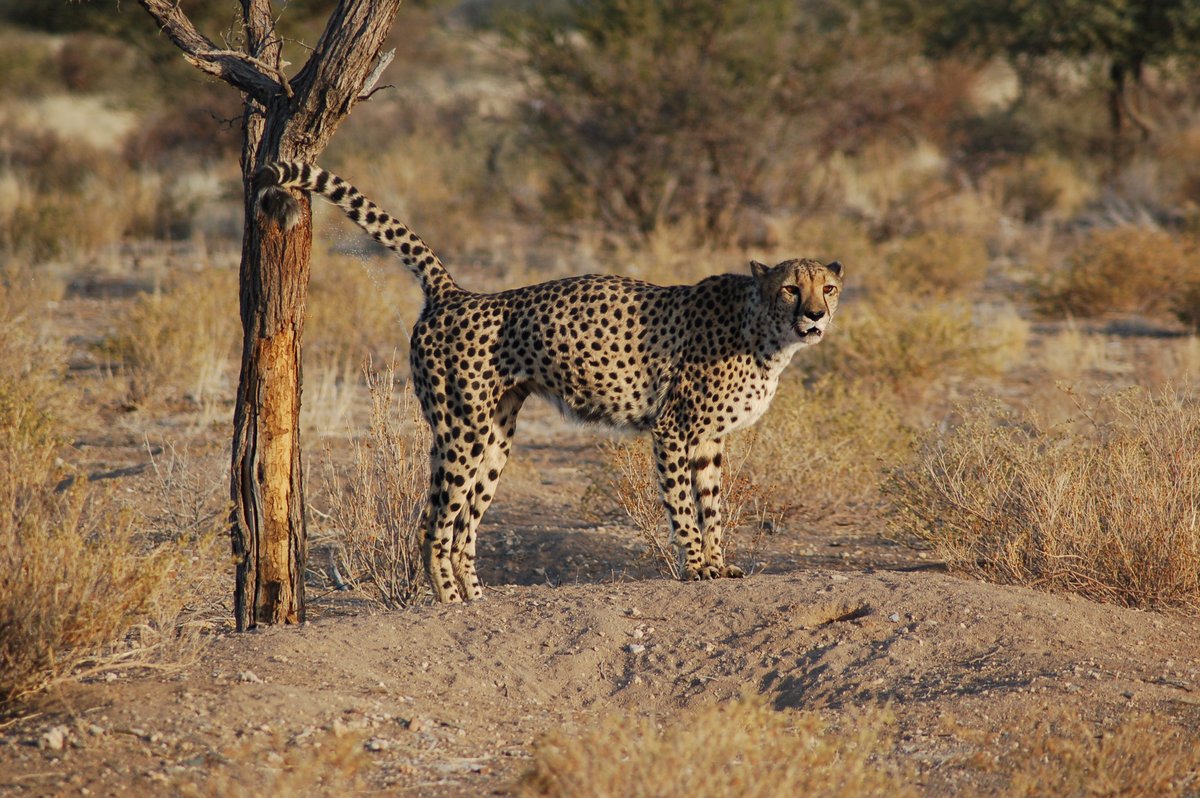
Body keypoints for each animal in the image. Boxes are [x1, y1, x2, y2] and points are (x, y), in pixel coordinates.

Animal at [254, 161, 843, 603]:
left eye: (829, 287)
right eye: (791, 288)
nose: (815, 316)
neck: (762, 329)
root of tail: (456, 293)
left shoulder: (708, 439)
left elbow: (712, 505)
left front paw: (720, 565)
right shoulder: (674, 430)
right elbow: (682, 505)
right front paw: (696, 566)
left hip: (496, 436)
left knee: (463, 525)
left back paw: (476, 597)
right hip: (462, 431)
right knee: (435, 523)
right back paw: (447, 600)